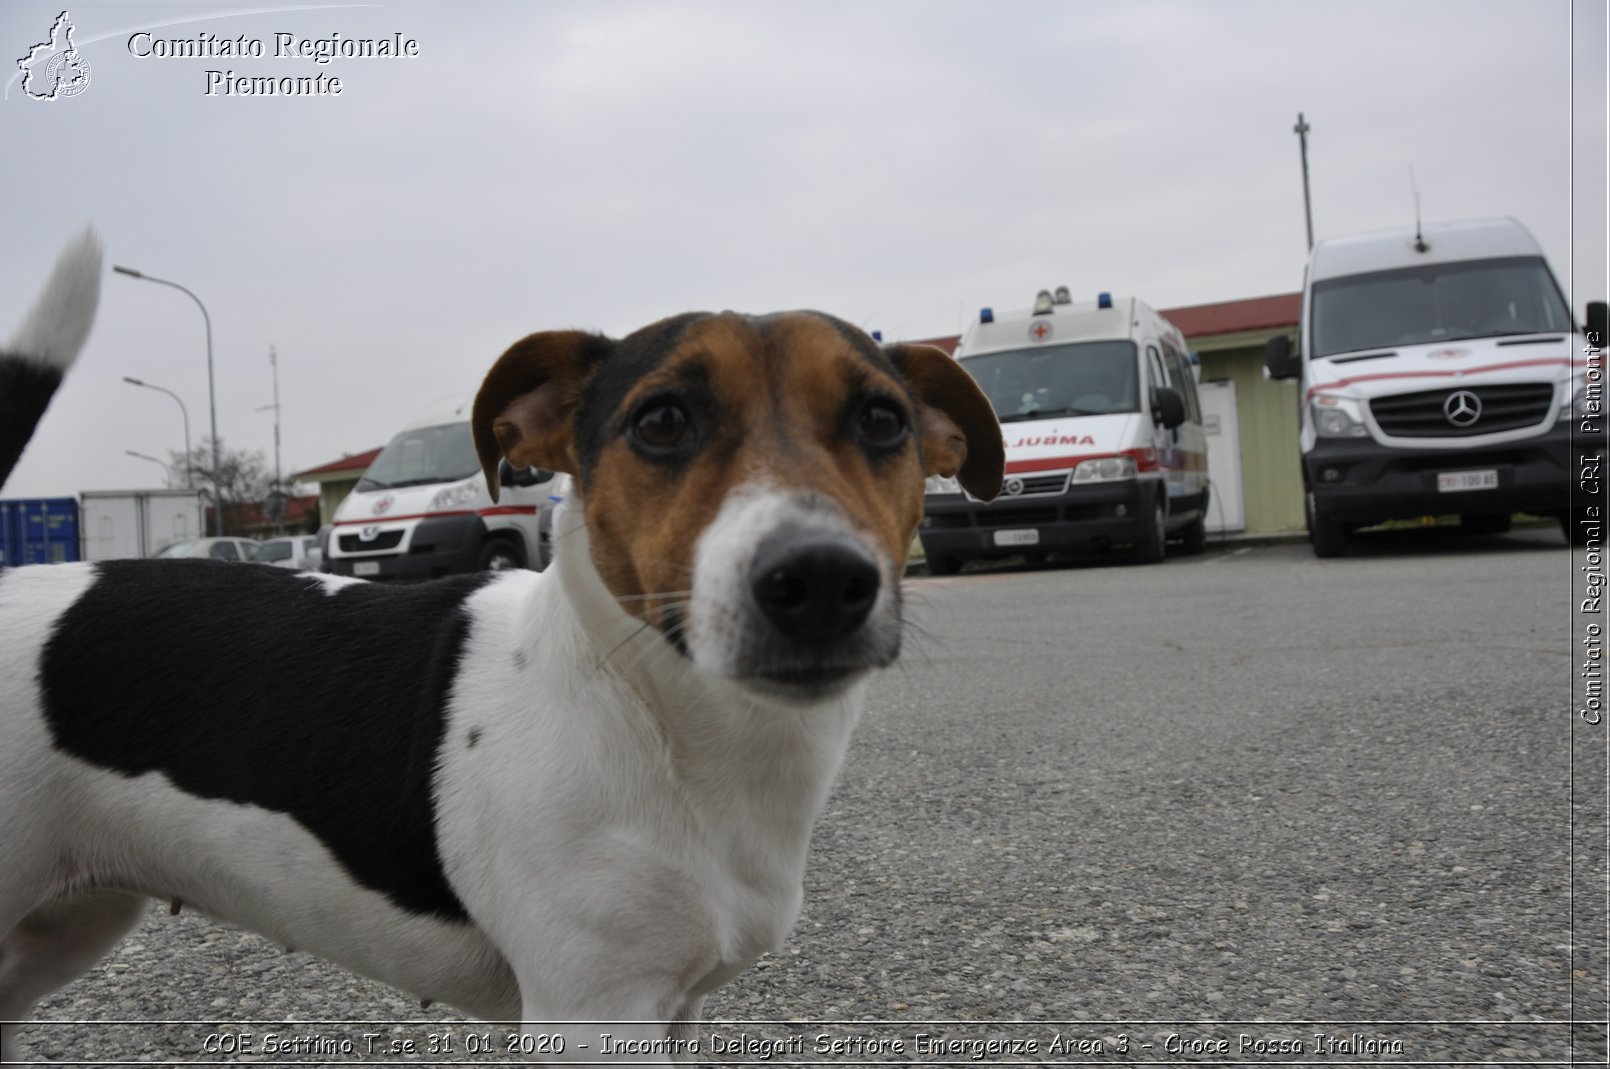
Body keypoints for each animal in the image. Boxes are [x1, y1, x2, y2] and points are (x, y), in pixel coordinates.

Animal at [0, 230, 998, 1056]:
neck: (652, 714)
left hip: (65, 924)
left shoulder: (671, 1007)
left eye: (883, 420)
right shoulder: (593, 1013)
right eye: (662, 420)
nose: (821, 579)